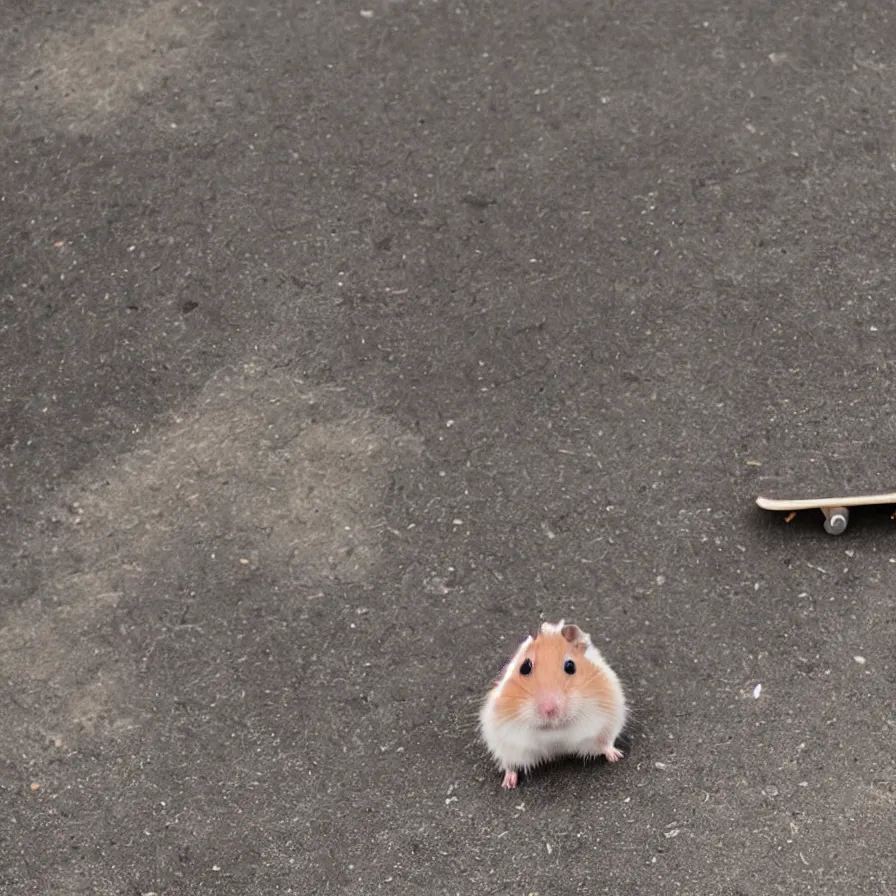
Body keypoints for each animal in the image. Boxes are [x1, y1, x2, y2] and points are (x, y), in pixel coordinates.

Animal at [480, 620, 628, 788]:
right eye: (525, 667)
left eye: (570, 666)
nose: (549, 710)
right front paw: (508, 785)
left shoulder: (608, 720)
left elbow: (605, 743)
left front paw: (617, 756)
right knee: (510, 765)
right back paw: (508, 784)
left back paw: (615, 756)